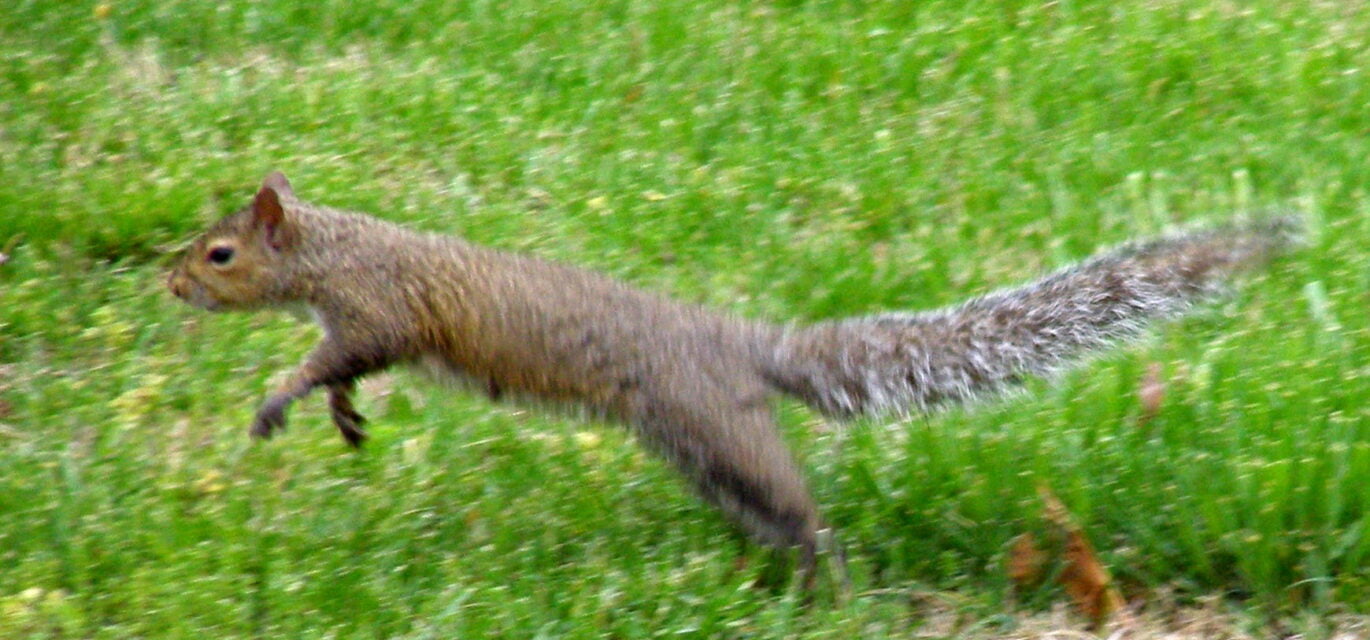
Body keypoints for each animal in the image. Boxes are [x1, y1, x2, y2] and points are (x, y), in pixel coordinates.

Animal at [167, 172, 1296, 588]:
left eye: (221, 253)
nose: (170, 281)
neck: (336, 251)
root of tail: (743, 346)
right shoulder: (368, 328)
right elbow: (346, 374)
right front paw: (341, 415)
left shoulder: (377, 309)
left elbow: (332, 355)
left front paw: (277, 400)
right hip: (700, 450)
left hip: (717, 433)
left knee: (801, 512)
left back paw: (831, 582)